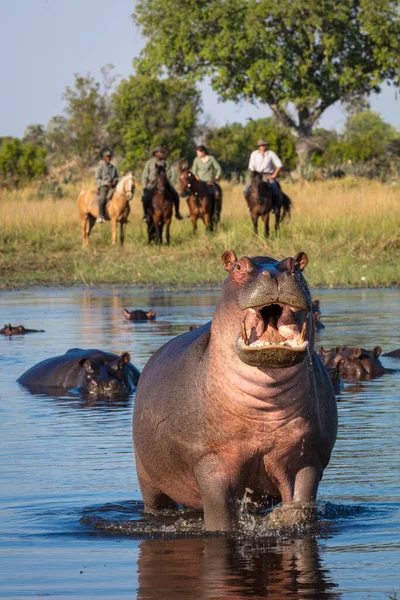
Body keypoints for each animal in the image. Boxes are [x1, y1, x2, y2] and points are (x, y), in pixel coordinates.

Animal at [134, 251, 338, 532]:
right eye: (238, 266)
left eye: (297, 265)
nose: (276, 273)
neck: (266, 403)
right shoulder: (211, 462)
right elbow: (220, 515)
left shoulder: (306, 457)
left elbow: (301, 504)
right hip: (148, 479)